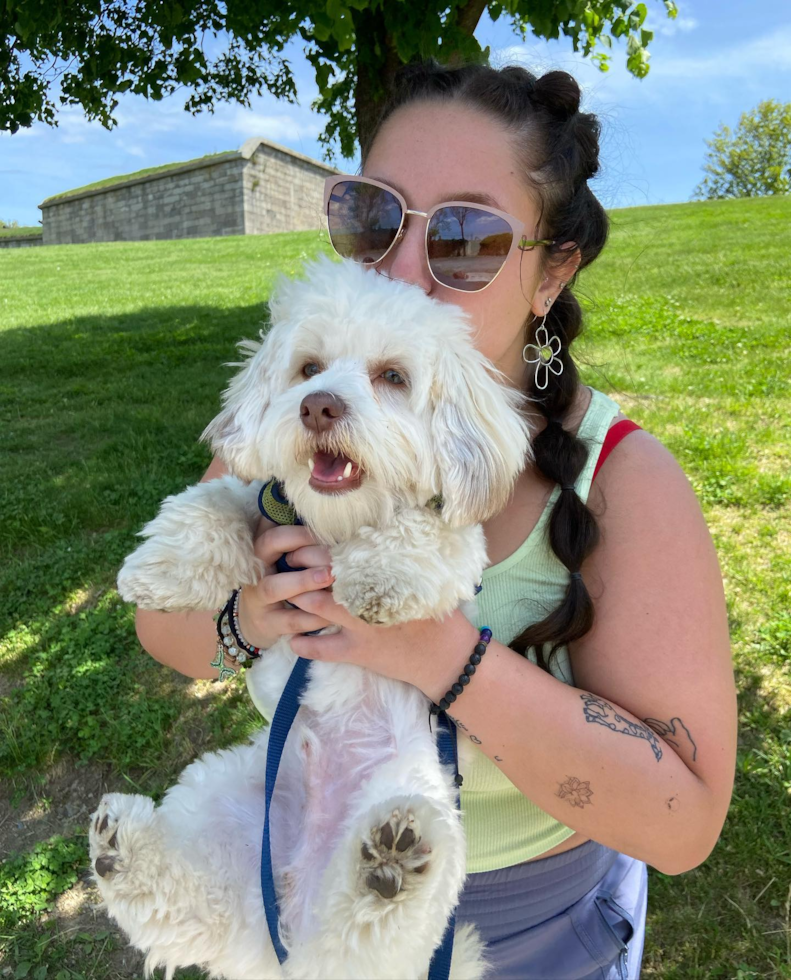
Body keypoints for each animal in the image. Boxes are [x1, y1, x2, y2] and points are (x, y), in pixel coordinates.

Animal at [93, 255, 532, 980]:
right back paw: (121, 849)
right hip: (227, 799)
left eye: (392, 377)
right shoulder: (264, 498)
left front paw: (379, 579)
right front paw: (160, 568)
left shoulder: (453, 539)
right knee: (189, 905)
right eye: (308, 368)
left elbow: (425, 532)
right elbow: (215, 499)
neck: (334, 525)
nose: (318, 404)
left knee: (365, 929)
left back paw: (388, 863)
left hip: (426, 807)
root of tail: (286, 928)